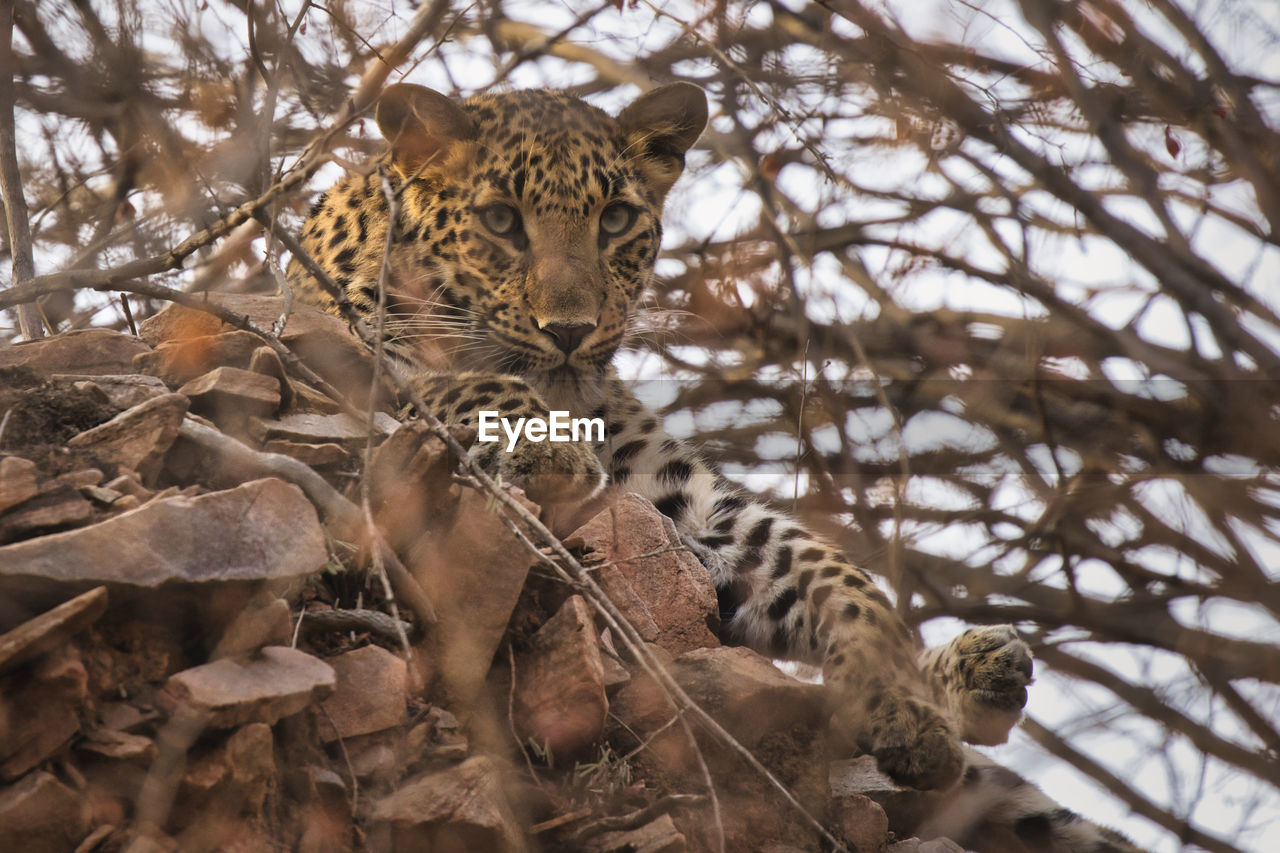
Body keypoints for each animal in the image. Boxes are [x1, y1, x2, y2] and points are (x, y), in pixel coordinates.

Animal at [288, 81, 1141, 850]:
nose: (570, 330)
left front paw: (899, 703)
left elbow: (834, 574)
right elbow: (452, 381)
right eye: (500, 220)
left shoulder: (678, 502)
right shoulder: (351, 354)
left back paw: (979, 669)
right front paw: (546, 443)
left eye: (616, 220)